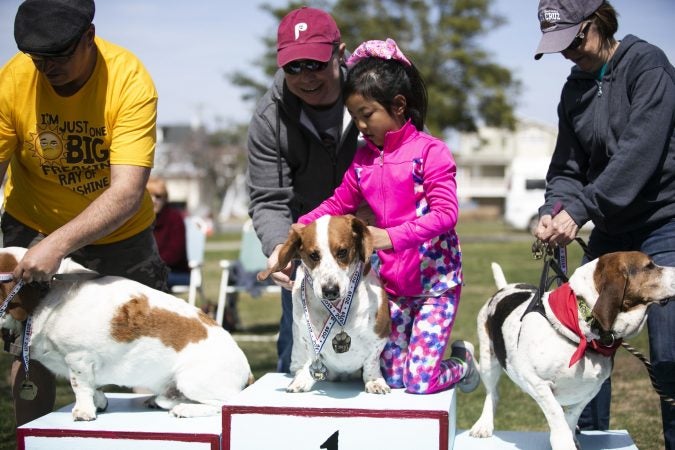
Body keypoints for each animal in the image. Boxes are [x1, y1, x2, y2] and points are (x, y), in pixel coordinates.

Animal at [0, 246, 254, 418]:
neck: (46, 292)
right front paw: (99, 401)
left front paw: (83, 412)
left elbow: (79, 386)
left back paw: (186, 409)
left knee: (224, 403)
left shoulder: (78, 358)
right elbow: (92, 386)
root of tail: (248, 371)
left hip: (191, 379)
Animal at [256, 214, 390, 394]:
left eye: (342, 252)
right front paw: (302, 379)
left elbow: (372, 361)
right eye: (313, 255)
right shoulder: (306, 336)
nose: (330, 290)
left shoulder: (379, 335)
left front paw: (375, 381)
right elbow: (311, 358)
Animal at [470, 251, 675, 450]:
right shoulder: (537, 382)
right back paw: (484, 425)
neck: (583, 331)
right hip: (488, 361)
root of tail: (505, 288)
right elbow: (556, 415)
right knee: (492, 393)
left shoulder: (590, 390)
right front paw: (564, 443)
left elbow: (571, 417)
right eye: (649, 266)